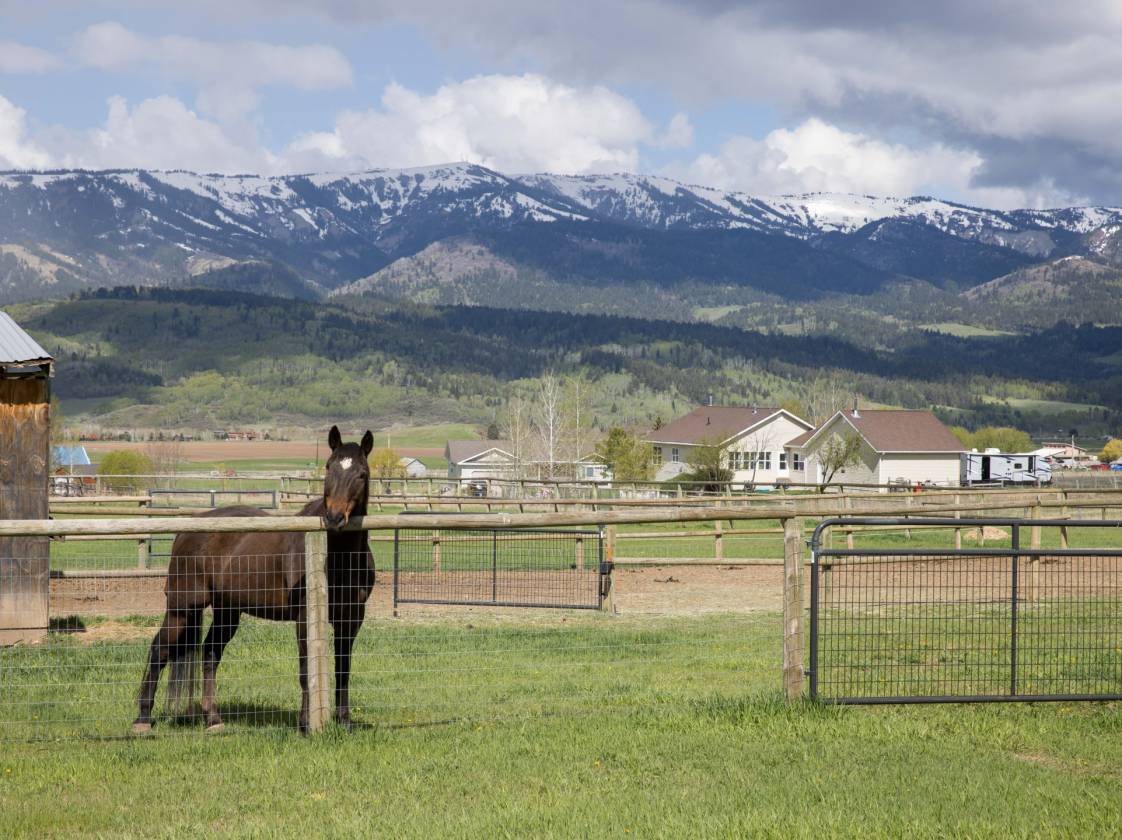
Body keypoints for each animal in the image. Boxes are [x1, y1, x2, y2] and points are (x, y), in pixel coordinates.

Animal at [131, 428, 376, 731]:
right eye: (329, 467)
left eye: (362, 474)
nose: (334, 517)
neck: (337, 556)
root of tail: (185, 533)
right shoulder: (304, 617)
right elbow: (305, 669)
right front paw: (305, 724)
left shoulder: (350, 618)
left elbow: (343, 669)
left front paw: (344, 722)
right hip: (182, 608)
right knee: (159, 650)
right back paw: (143, 718)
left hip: (227, 611)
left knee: (210, 654)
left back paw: (213, 719)